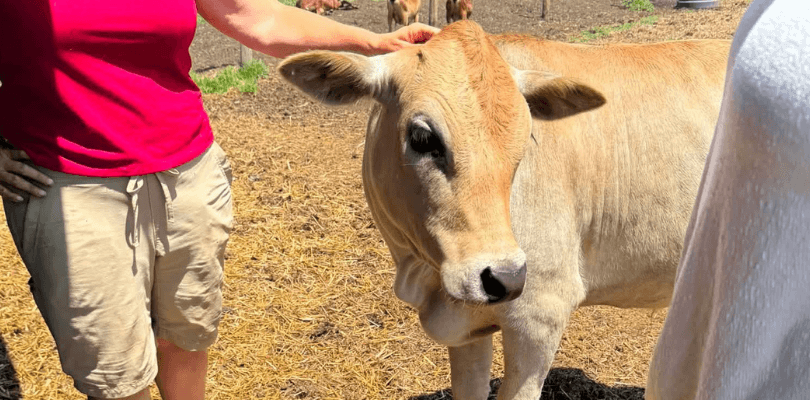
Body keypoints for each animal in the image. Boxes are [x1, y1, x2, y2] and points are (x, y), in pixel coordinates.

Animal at [278, 21, 729, 400]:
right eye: (422, 137)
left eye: (525, 139)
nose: (506, 277)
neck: (425, 273)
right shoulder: (467, 327)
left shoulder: (539, 316)